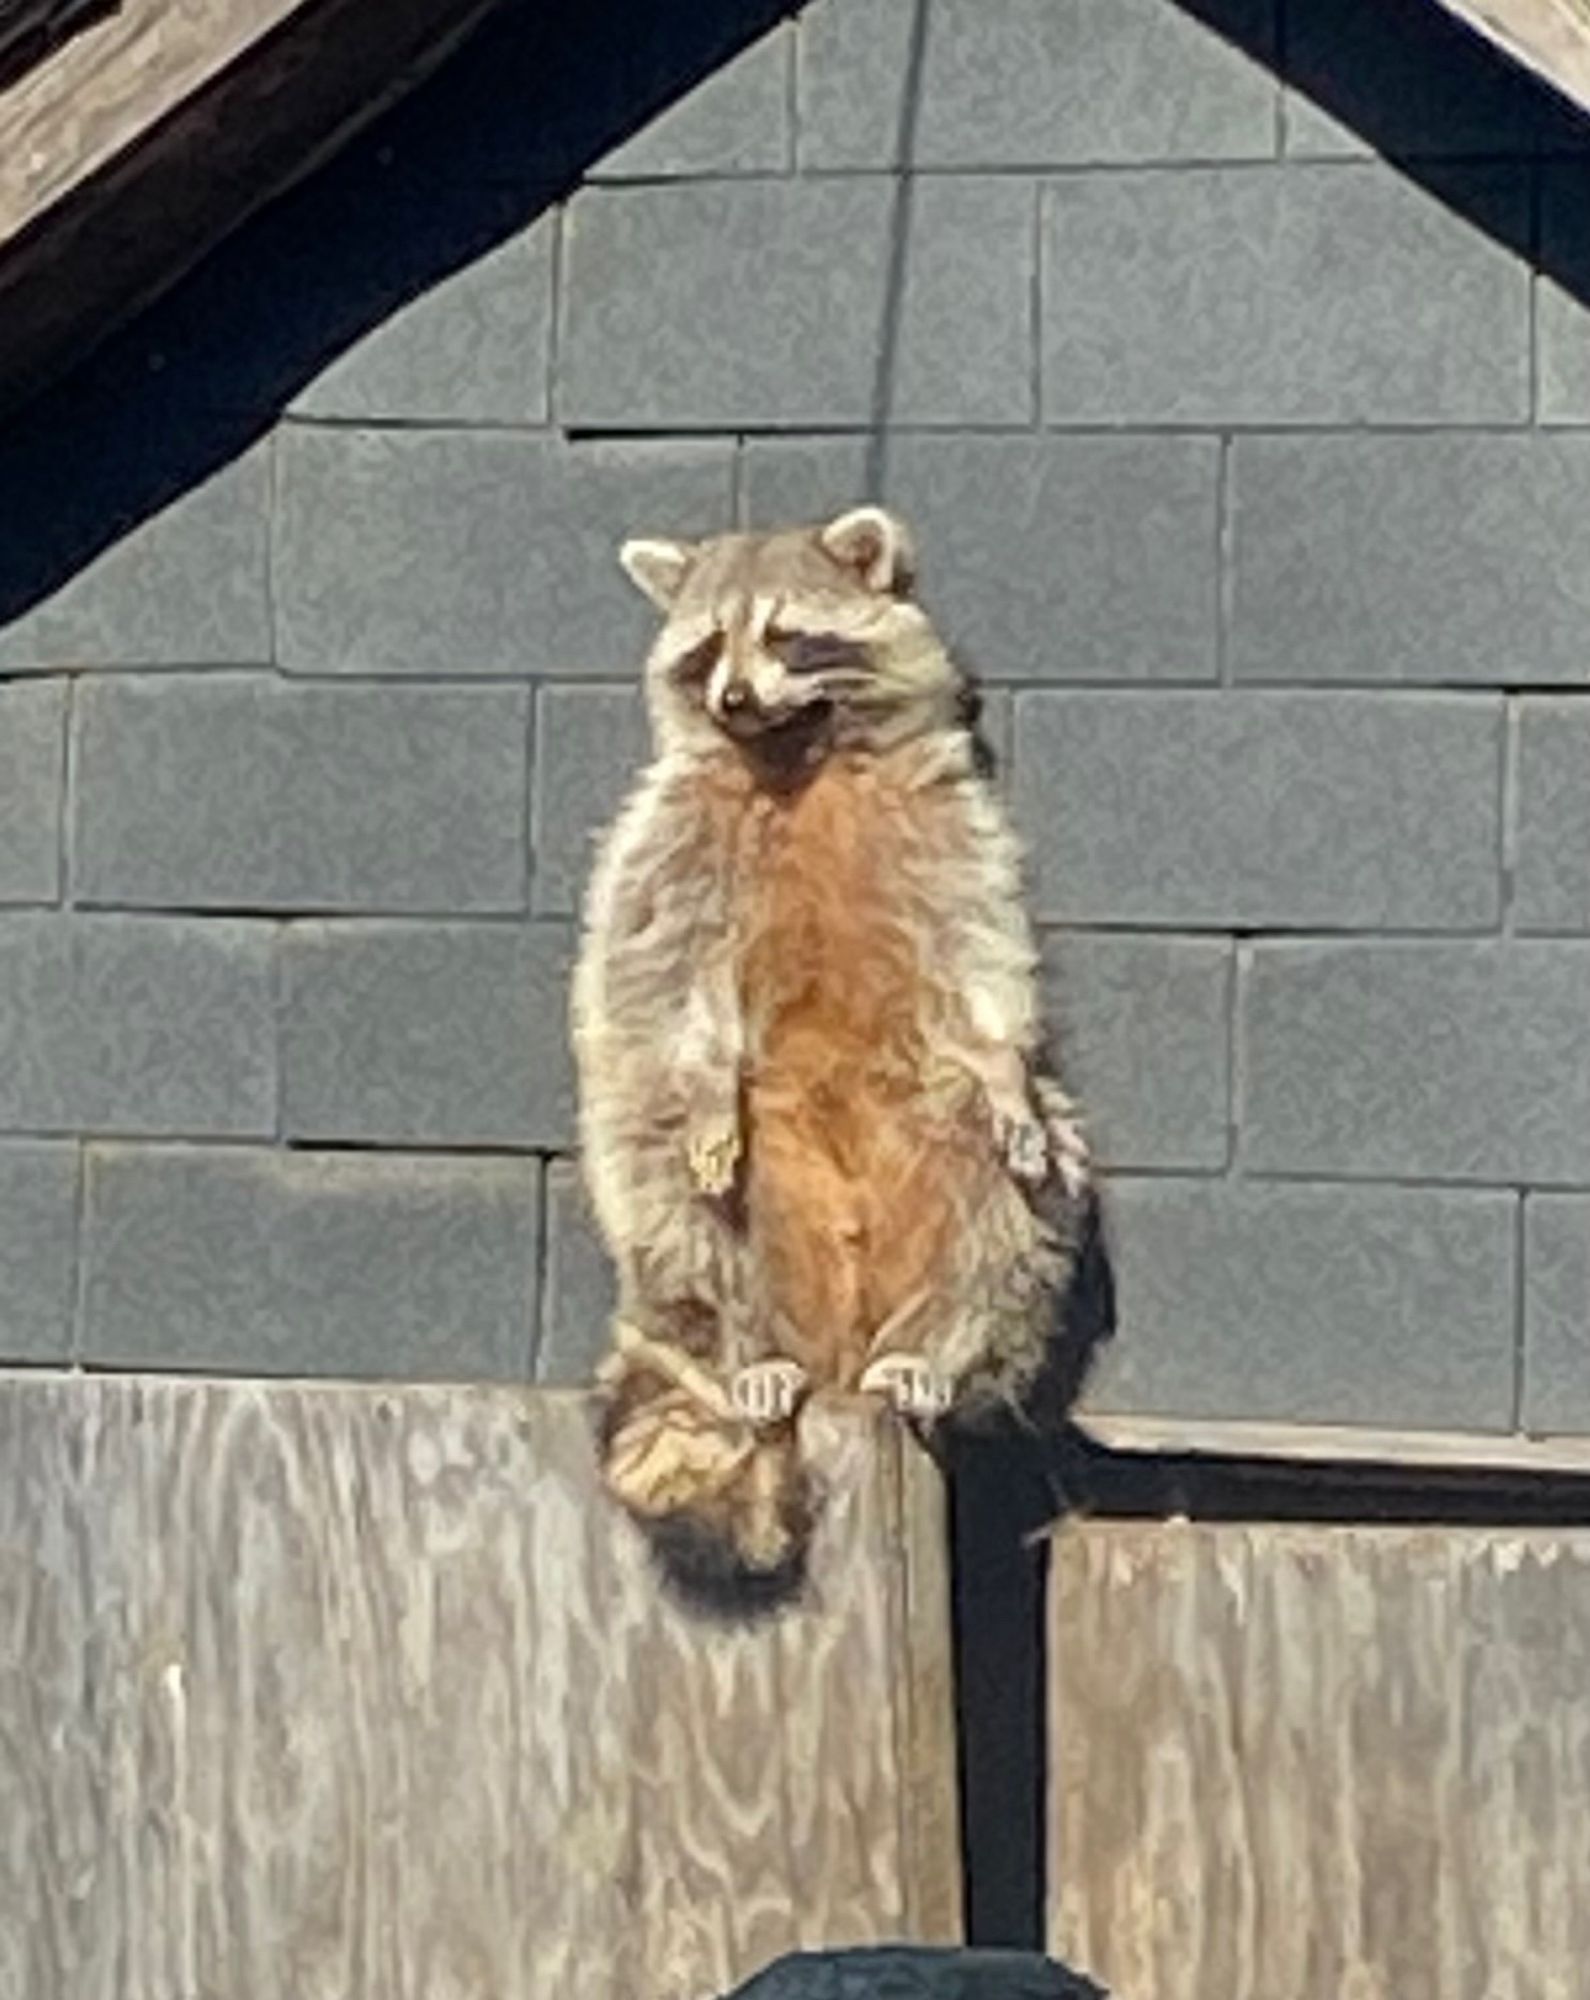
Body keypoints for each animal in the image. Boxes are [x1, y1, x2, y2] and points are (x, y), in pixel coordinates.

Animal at [572, 508, 1096, 1616]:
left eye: (784, 635)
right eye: (706, 648)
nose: (730, 697)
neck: (792, 753)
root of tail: (842, 1351)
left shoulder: (950, 825)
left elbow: (981, 963)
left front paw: (1001, 1064)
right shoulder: (672, 848)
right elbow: (672, 987)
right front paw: (704, 1080)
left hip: (956, 1167)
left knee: (1013, 1205)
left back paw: (941, 1347)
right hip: (703, 1219)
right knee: (677, 1212)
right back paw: (751, 1352)